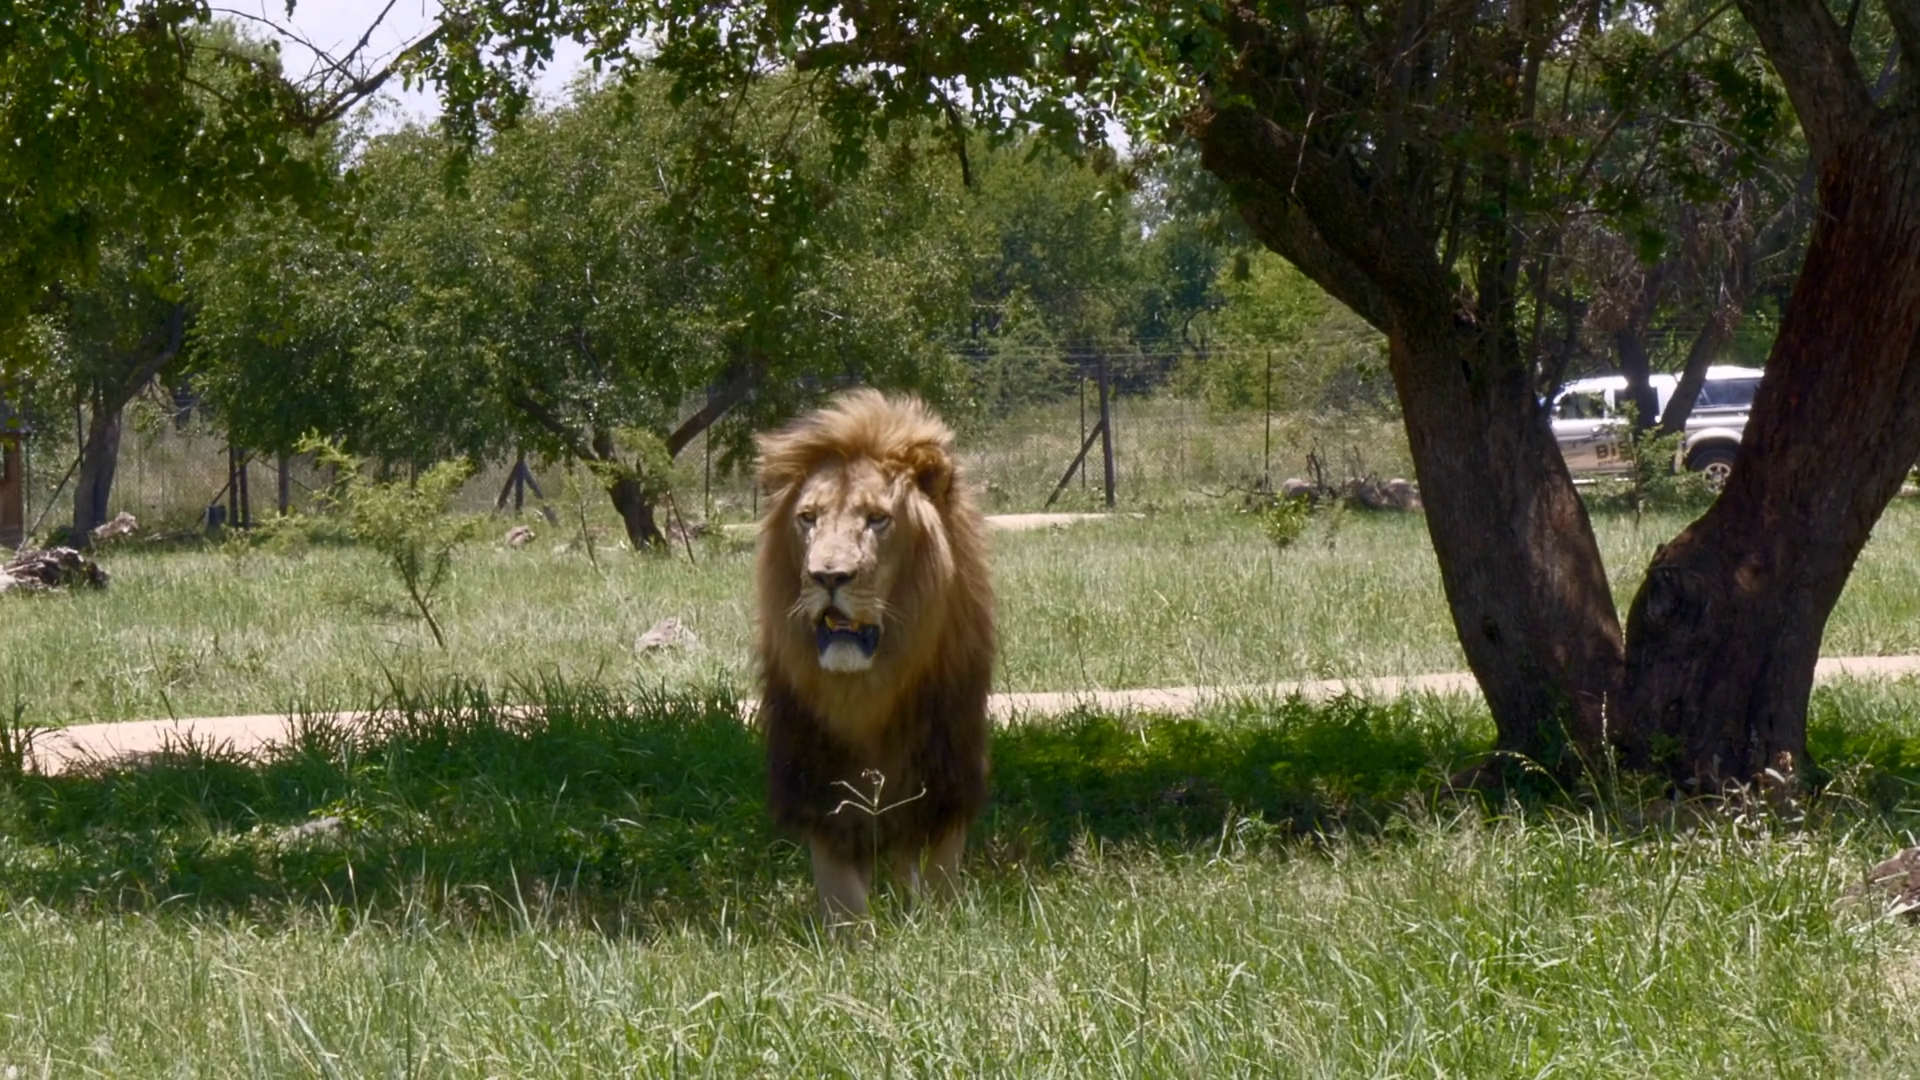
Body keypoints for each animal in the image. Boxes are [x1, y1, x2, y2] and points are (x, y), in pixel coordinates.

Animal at [752, 389, 996, 918]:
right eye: (808, 518)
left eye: (878, 519)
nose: (828, 576)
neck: (865, 692)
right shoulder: (824, 800)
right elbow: (844, 907)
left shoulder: (942, 787)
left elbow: (938, 885)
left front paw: (937, 926)